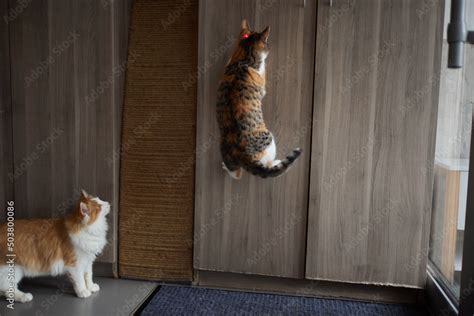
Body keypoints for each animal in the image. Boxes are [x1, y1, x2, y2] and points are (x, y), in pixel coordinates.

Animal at [217, 19, 302, 180]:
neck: (243, 58)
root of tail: (243, 154)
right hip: (270, 139)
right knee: (266, 166)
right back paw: (276, 162)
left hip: (225, 152)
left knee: (236, 174)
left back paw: (225, 167)